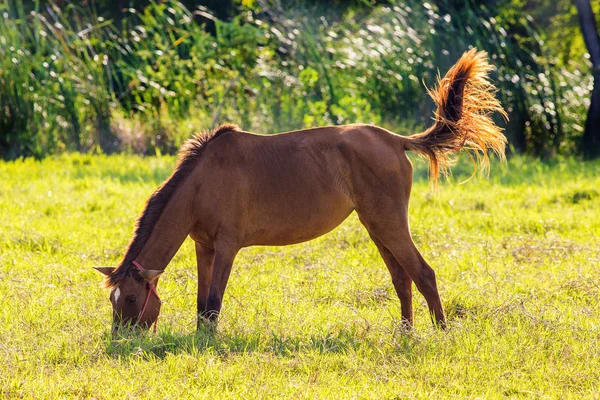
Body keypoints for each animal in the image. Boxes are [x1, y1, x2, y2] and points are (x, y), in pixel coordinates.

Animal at [95, 50, 506, 332]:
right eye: (113, 299)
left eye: (130, 297)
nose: (120, 339)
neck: (201, 182)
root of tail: (393, 139)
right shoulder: (204, 248)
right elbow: (201, 305)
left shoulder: (227, 247)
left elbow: (213, 303)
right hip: (377, 227)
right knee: (402, 278)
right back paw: (406, 333)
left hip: (388, 225)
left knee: (423, 274)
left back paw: (441, 333)